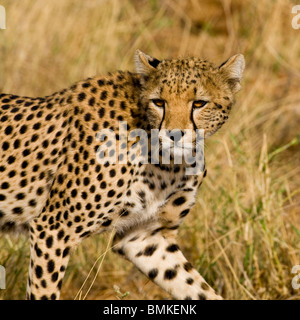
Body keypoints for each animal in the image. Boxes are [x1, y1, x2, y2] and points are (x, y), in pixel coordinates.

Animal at [0, 50, 244, 300]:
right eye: (159, 102)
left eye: (199, 103)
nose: (174, 135)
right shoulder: (53, 229)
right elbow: (44, 290)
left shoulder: (145, 237)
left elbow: (196, 287)